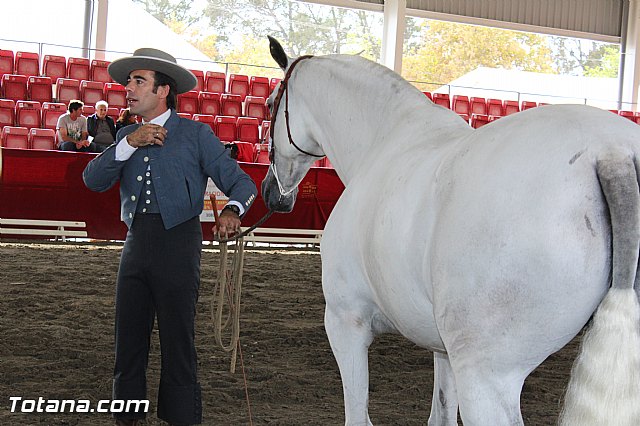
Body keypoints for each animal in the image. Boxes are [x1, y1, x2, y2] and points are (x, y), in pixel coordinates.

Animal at [261, 36, 640, 425]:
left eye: (270, 104)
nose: (272, 194)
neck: (385, 143)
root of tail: (613, 153)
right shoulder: (442, 348)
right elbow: (441, 414)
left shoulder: (345, 322)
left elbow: (358, 416)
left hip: (485, 377)